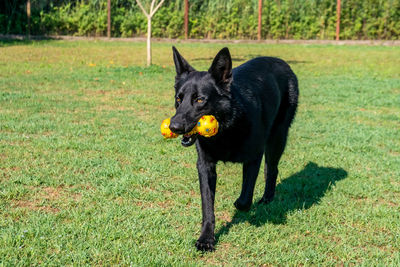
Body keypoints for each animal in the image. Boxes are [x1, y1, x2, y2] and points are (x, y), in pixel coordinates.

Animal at [169, 47, 296, 252]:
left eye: (199, 100)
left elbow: (245, 198)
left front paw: (239, 205)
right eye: (178, 99)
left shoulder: (254, 157)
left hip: (278, 137)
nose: (174, 126)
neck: (226, 128)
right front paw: (206, 238)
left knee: (272, 168)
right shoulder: (205, 166)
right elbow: (207, 206)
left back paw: (267, 198)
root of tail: (280, 61)